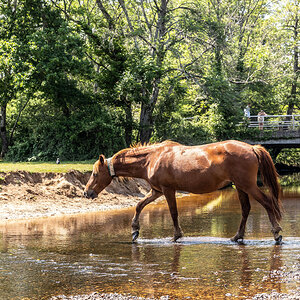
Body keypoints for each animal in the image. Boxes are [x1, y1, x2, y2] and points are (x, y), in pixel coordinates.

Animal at [83, 141, 282, 244]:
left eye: (95, 173)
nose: (86, 192)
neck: (151, 158)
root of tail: (251, 148)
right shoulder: (156, 191)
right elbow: (139, 205)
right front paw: (134, 230)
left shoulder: (167, 190)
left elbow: (173, 212)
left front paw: (176, 235)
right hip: (241, 187)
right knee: (246, 209)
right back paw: (237, 236)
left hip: (248, 186)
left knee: (267, 203)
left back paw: (277, 234)